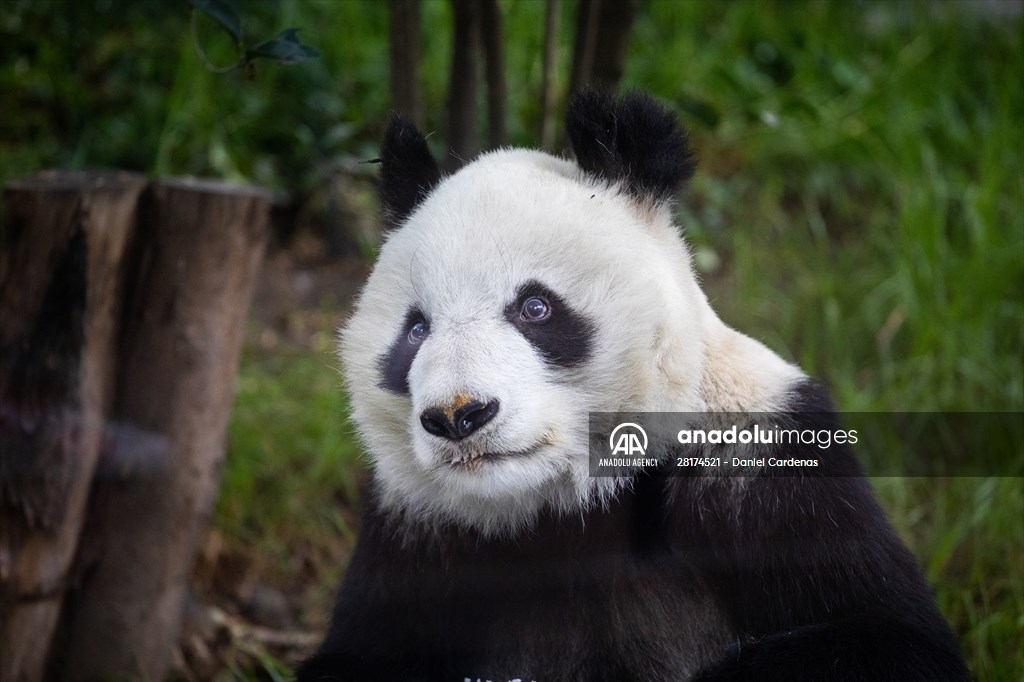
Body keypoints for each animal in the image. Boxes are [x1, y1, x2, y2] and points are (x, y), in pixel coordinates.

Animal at [299, 91, 970, 679]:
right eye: (416, 329)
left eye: (535, 308)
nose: (459, 415)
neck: (560, 503)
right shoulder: (416, 527)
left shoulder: (763, 464)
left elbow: (893, 638)